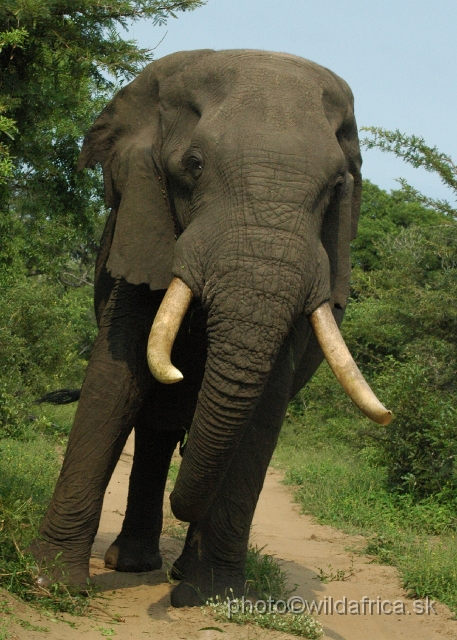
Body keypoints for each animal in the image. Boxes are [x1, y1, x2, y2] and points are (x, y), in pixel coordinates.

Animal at [28, 48, 388, 604]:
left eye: (336, 189)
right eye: (193, 167)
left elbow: (264, 409)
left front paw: (217, 596)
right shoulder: (144, 224)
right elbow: (116, 379)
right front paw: (49, 584)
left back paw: (183, 575)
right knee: (155, 427)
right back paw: (136, 565)